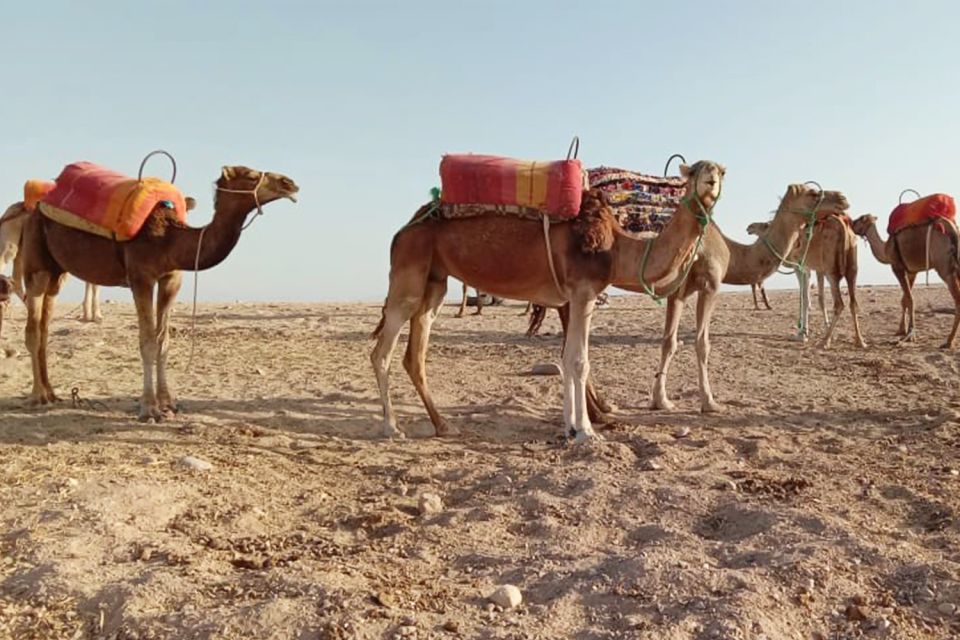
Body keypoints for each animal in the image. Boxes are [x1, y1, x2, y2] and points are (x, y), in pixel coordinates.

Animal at [16, 165, 298, 420]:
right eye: (250, 175)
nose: (290, 183)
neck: (169, 240)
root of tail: (38, 204)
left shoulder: (171, 279)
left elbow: (164, 341)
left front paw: (168, 403)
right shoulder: (141, 278)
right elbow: (148, 342)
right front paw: (149, 408)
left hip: (57, 272)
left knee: (44, 327)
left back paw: (51, 393)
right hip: (36, 262)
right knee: (33, 329)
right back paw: (37, 396)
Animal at [372, 160, 724, 442]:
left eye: (720, 170)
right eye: (695, 171)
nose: (710, 180)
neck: (616, 248)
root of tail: (404, 229)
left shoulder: (578, 297)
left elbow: (569, 359)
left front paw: (573, 426)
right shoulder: (582, 292)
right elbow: (578, 361)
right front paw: (587, 431)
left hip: (434, 281)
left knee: (415, 355)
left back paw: (444, 425)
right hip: (408, 272)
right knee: (382, 352)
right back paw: (392, 428)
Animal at [852, 212, 956, 348]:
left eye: (860, 219)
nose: (850, 222)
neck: (886, 249)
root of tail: (951, 228)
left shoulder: (897, 267)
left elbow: (910, 299)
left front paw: (910, 334)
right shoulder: (912, 272)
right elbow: (905, 300)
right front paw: (901, 330)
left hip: (944, 265)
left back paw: (949, 341)